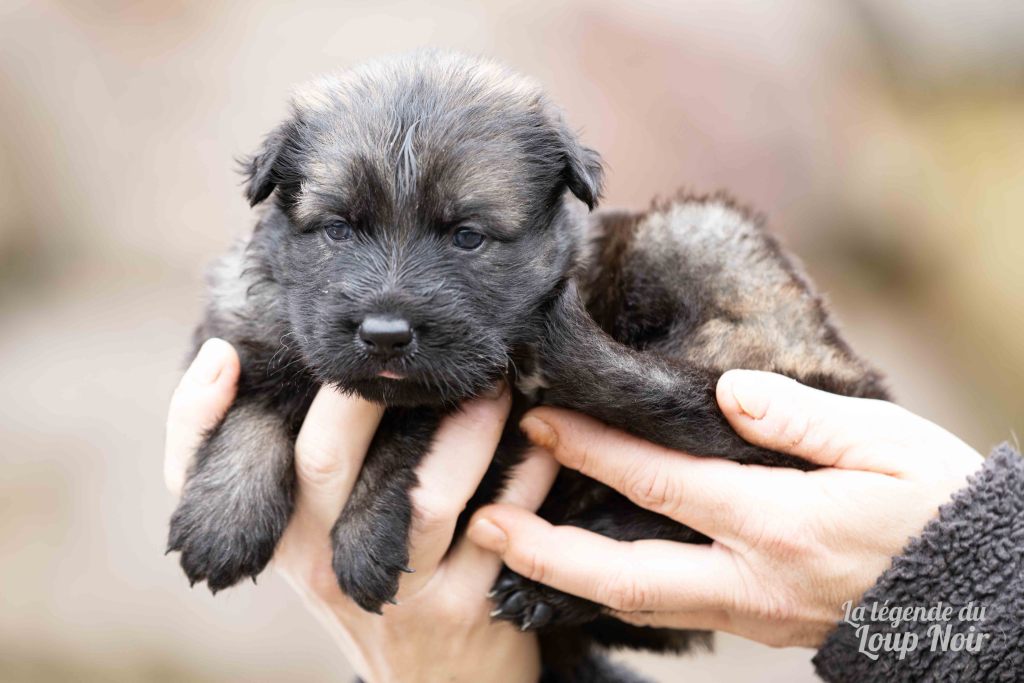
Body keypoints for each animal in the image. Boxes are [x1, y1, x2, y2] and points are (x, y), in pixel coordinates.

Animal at [168, 50, 888, 680]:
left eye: (467, 236)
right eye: (339, 228)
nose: (385, 334)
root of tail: (857, 375)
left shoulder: (464, 393)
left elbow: (403, 433)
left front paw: (363, 539)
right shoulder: (245, 333)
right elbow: (253, 406)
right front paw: (221, 520)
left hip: (698, 246)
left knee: (717, 429)